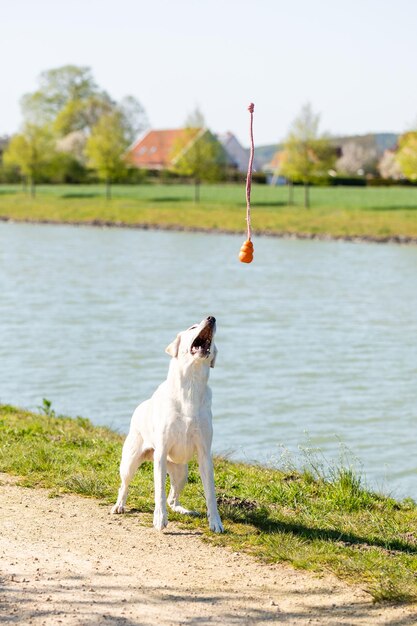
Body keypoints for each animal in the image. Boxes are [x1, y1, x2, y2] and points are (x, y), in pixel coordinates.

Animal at [109, 314, 223, 528]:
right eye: (192, 327)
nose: (211, 318)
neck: (191, 386)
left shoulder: (205, 454)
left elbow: (210, 493)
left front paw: (215, 523)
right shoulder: (161, 453)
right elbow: (159, 491)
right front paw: (160, 519)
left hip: (181, 472)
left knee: (173, 497)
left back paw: (183, 510)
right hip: (129, 461)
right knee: (124, 485)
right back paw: (119, 506)